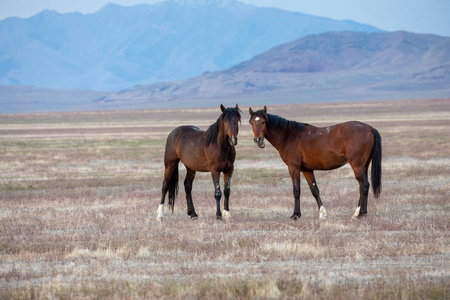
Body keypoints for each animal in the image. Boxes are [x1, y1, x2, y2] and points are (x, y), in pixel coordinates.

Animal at [248, 106, 382, 219]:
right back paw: (361, 212)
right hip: (364, 165)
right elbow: (314, 190)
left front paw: (295, 214)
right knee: (363, 186)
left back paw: (359, 214)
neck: (289, 136)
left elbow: (296, 190)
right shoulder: (306, 170)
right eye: (251, 122)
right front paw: (322, 214)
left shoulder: (293, 168)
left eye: (263, 122)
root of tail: (370, 129)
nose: (258, 140)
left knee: (364, 185)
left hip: (357, 166)